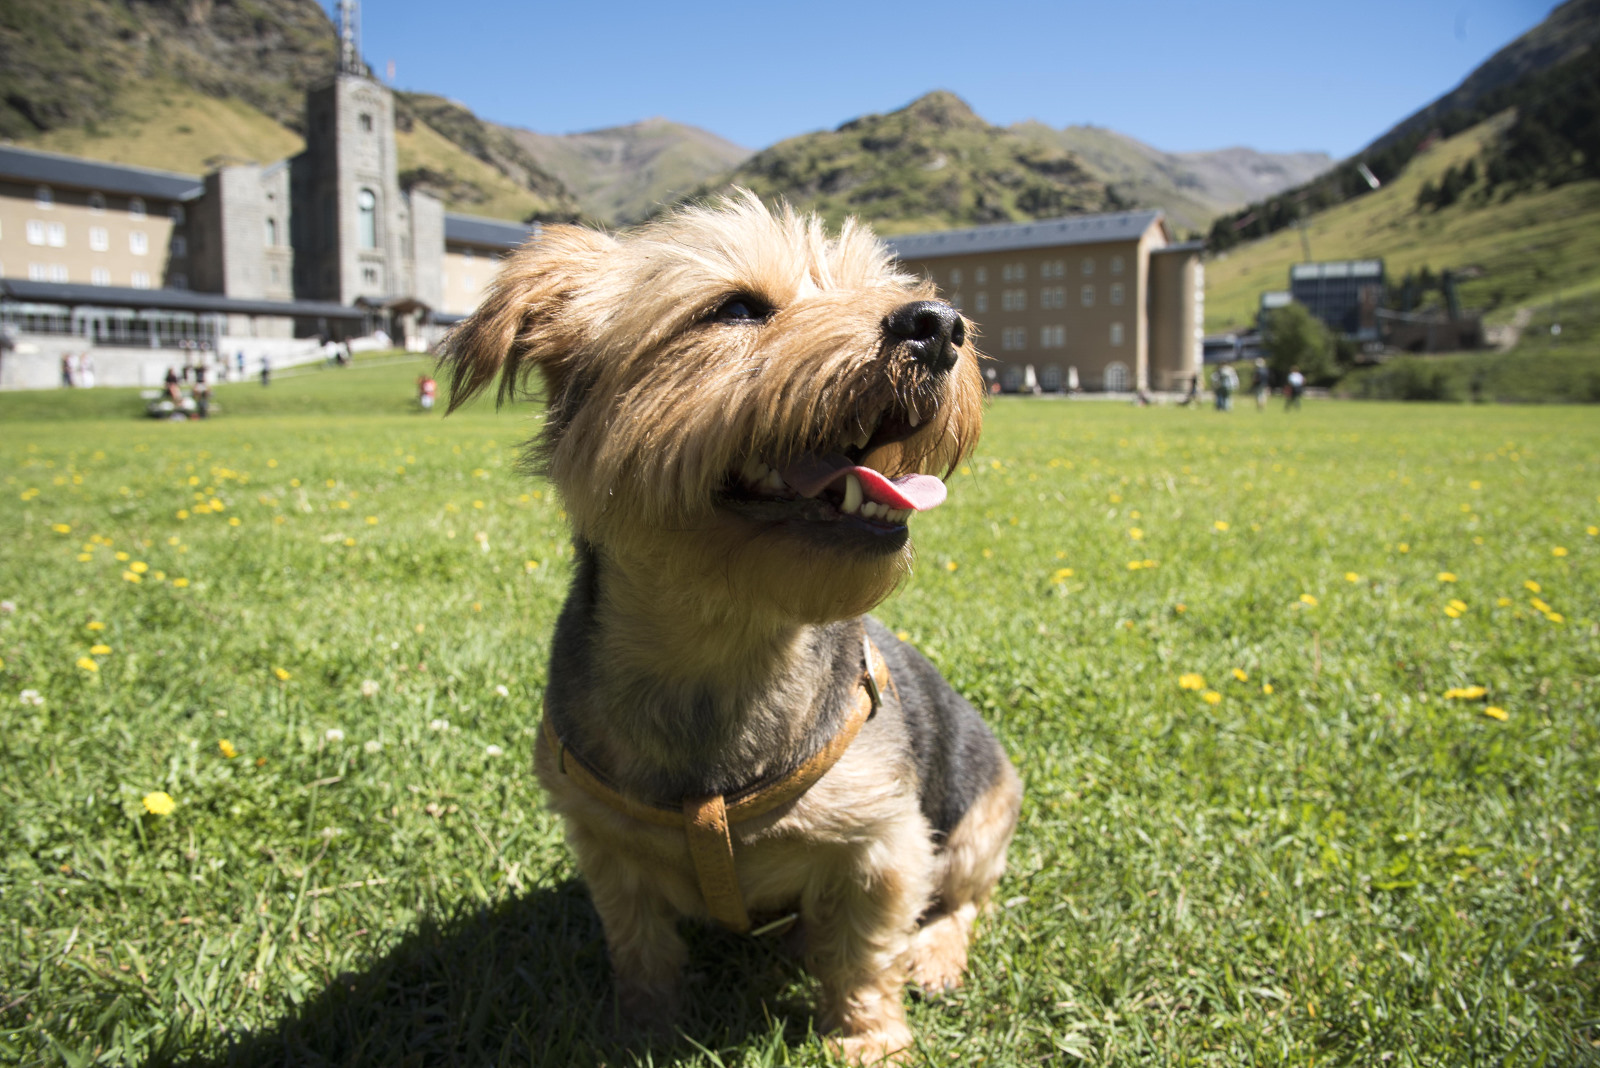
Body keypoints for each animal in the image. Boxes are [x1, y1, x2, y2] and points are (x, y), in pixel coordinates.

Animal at [448, 191, 1024, 1061]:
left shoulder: (885, 844)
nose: (940, 324)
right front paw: (640, 1031)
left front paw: (869, 1037)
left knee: (963, 899)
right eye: (738, 309)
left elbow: (866, 952)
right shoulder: (607, 848)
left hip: (982, 815)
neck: (724, 650)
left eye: (883, 287)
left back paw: (934, 956)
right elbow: (640, 948)